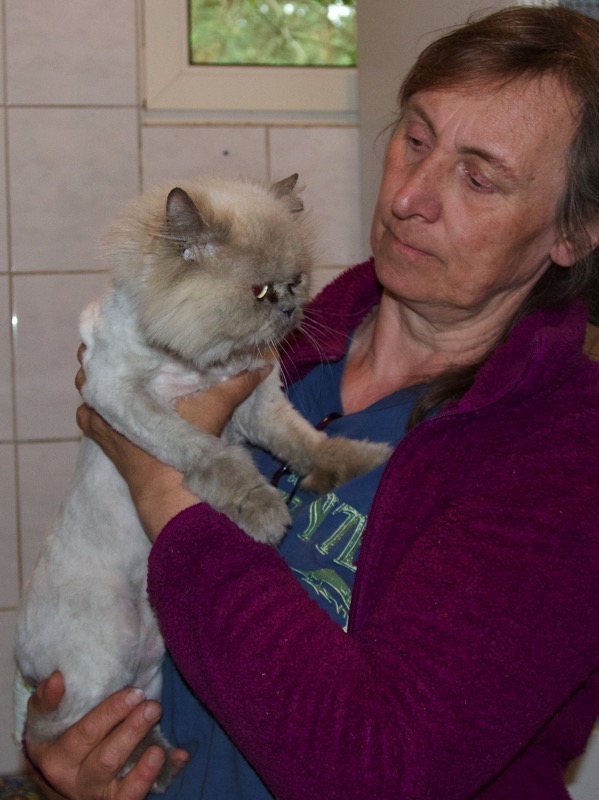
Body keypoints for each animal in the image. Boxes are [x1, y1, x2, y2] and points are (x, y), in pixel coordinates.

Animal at [14, 174, 391, 791]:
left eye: (296, 282)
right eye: (260, 292)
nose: (292, 310)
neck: (207, 361)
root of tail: (24, 660)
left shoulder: (259, 401)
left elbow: (307, 444)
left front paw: (365, 459)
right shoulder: (122, 395)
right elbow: (209, 456)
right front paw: (263, 512)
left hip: (147, 670)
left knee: (130, 718)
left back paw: (163, 764)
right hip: (104, 655)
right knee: (56, 728)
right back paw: (154, 768)